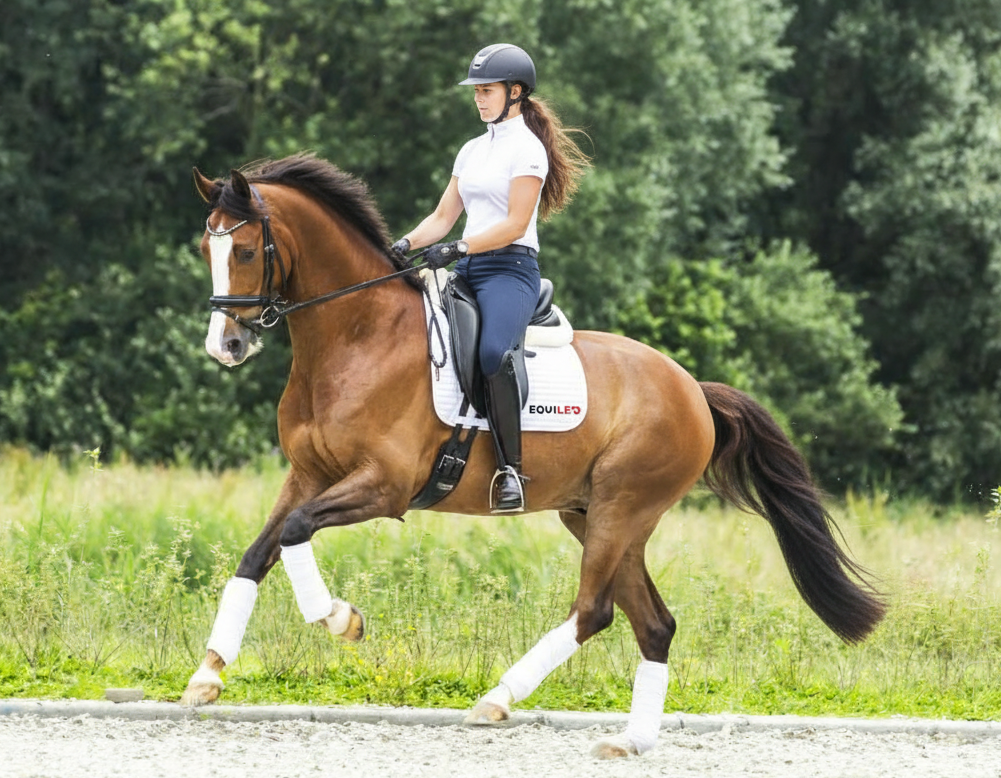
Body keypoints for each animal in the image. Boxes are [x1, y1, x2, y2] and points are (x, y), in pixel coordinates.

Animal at [180, 153, 885, 758]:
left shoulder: (383, 486)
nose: (226, 345)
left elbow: (295, 535)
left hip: (622, 507)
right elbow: (258, 554)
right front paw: (207, 675)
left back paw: (497, 698)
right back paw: (630, 741)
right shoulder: (308, 476)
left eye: (247, 250)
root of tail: (693, 391)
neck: (356, 337)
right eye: (206, 249)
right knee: (654, 624)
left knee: (594, 610)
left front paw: (339, 619)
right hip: (597, 515)